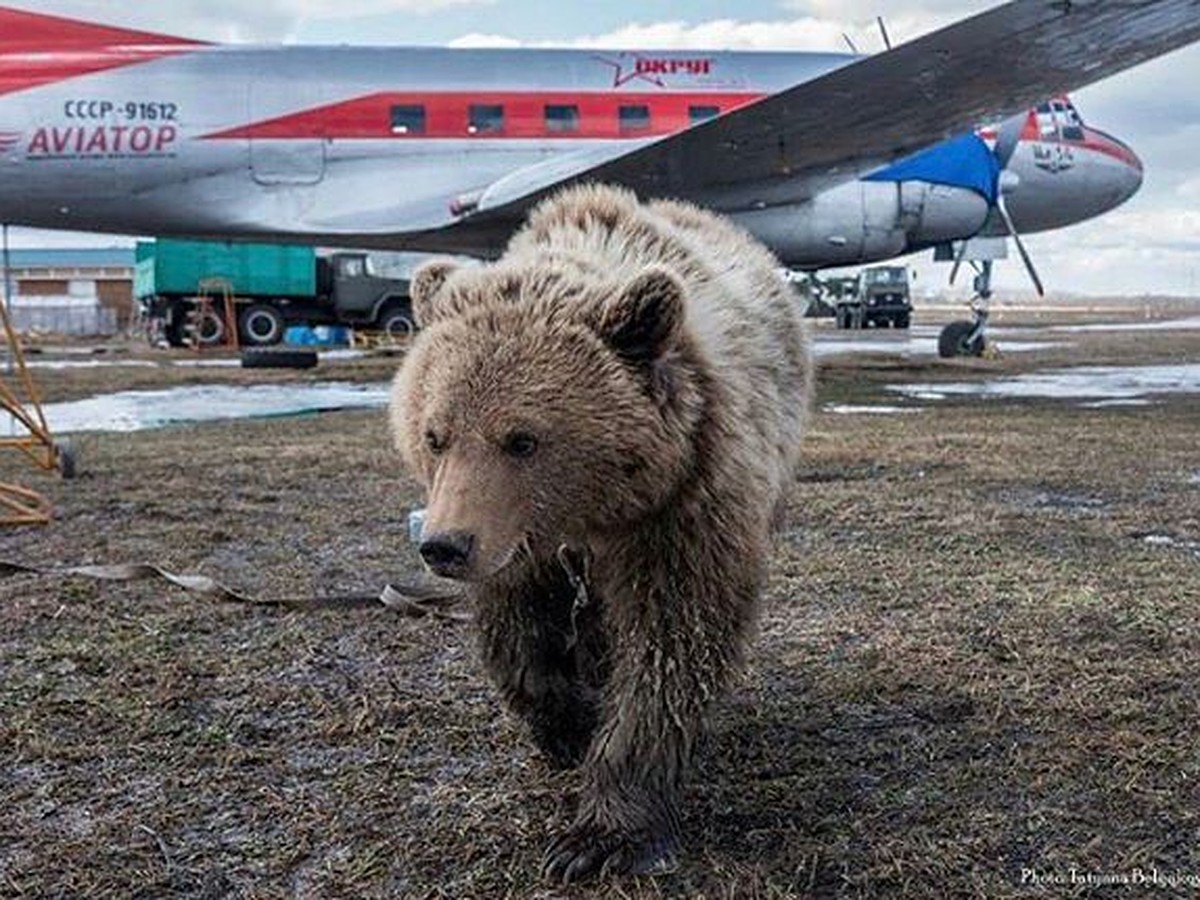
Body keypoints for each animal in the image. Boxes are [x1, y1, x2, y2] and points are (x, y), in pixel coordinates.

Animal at [388, 184, 811, 888]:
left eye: (522, 438)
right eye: (434, 434)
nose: (444, 546)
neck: (586, 515)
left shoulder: (680, 511)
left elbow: (670, 649)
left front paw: (602, 835)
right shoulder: (518, 543)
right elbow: (519, 637)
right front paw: (568, 725)